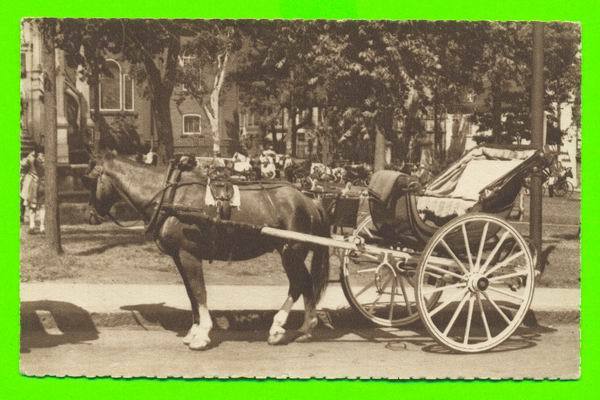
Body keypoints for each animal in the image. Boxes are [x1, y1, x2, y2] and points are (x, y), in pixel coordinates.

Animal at [82, 152, 330, 350]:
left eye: (90, 180)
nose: (90, 215)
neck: (171, 197)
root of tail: (308, 200)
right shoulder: (179, 256)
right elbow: (191, 295)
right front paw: (193, 331)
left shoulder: (189, 255)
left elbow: (199, 292)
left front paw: (202, 335)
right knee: (306, 284)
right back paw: (306, 329)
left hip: (291, 251)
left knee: (298, 284)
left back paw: (279, 328)